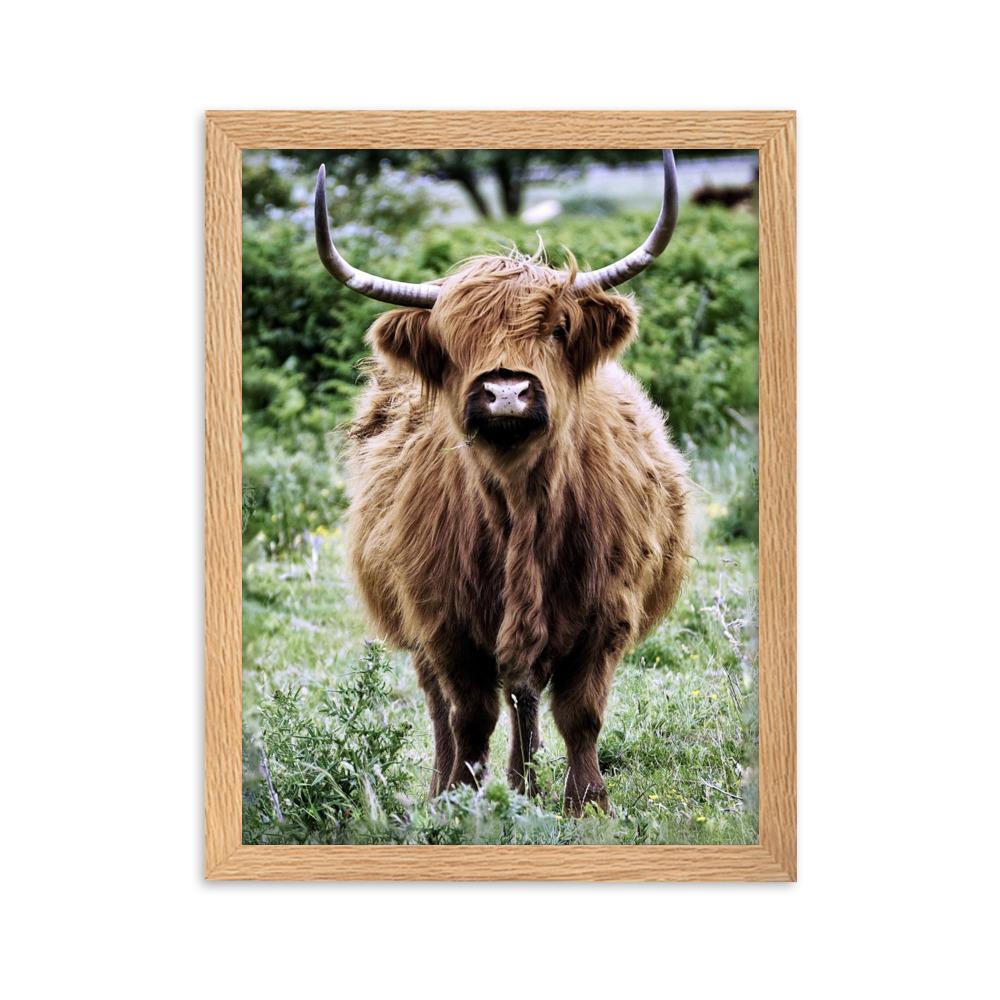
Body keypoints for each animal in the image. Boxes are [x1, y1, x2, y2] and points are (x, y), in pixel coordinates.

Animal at [314, 151, 691, 815]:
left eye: (559, 328)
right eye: (452, 339)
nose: (507, 391)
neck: (521, 506)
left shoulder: (607, 614)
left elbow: (580, 713)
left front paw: (585, 803)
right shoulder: (443, 622)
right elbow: (469, 715)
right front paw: (461, 801)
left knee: (525, 694)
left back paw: (525, 783)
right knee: (447, 706)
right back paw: (456, 786)